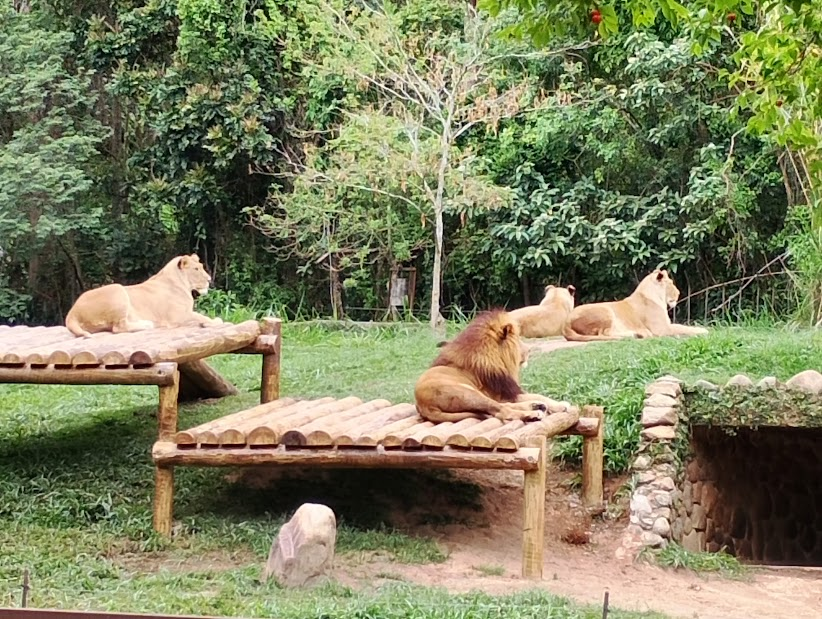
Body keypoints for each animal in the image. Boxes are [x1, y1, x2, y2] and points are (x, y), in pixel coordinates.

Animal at [65, 254, 223, 338]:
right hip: (117, 289)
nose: (209, 279)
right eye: (196, 269)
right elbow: (199, 315)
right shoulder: (176, 317)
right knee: (118, 328)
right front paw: (213, 321)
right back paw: (146, 324)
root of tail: (72, 312)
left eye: (201, 267)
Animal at [415, 309, 573, 423]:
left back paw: (536, 405)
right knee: (503, 411)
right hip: (467, 393)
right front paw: (559, 405)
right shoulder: (503, 392)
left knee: (501, 408)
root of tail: (423, 405)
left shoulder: (507, 392)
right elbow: (534, 395)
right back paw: (533, 413)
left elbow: (538, 395)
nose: (529, 350)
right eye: (517, 340)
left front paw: (559, 405)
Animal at [562, 269, 709, 342]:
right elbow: (684, 328)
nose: (678, 293)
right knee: (604, 334)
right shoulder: (662, 329)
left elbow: (683, 326)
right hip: (605, 310)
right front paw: (704, 330)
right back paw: (636, 334)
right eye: (670, 284)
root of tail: (566, 323)